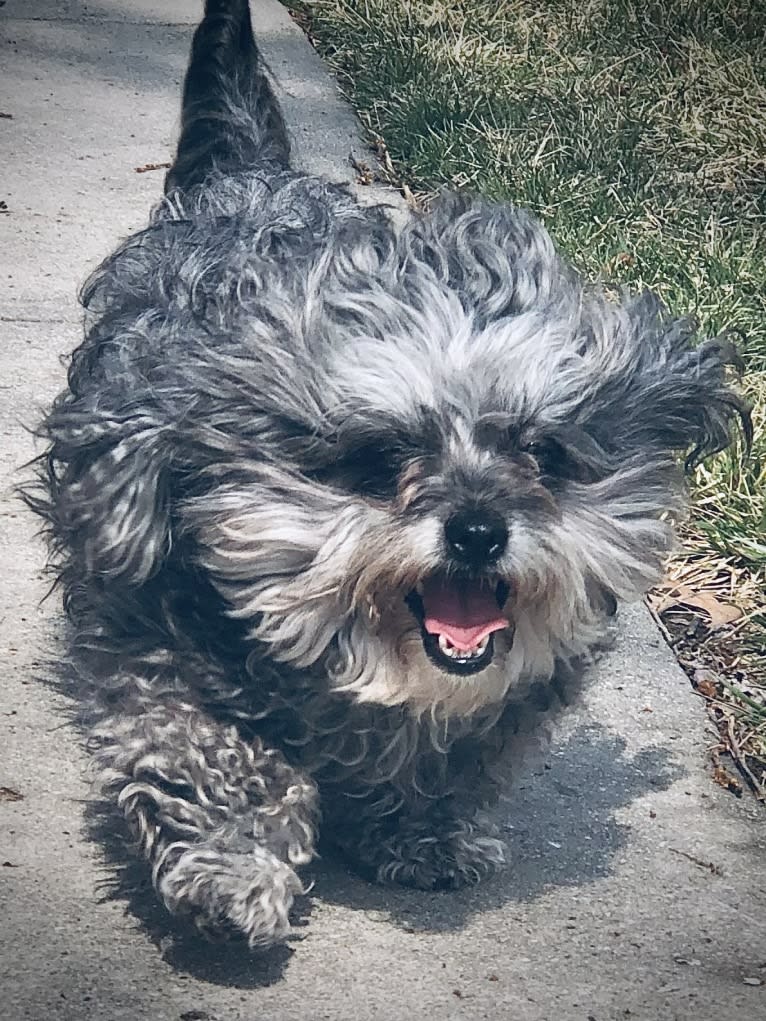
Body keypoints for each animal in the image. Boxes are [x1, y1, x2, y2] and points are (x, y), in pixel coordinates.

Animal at [28, 0, 751, 947]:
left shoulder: (506, 696)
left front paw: (419, 831)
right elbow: (211, 748)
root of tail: (250, 178)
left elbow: (454, 760)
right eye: (376, 458)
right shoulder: (152, 628)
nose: (478, 531)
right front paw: (235, 865)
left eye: (542, 453)